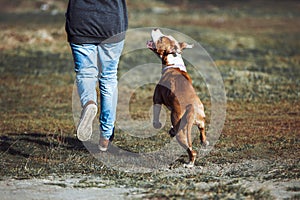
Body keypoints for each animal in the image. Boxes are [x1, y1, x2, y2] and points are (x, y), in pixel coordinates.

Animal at [146, 28, 207, 168]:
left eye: (161, 39)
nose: (156, 28)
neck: (173, 64)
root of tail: (192, 108)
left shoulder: (157, 99)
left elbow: (156, 115)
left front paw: (157, 124)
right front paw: (170, 130)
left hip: (182, 134)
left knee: (191, 151)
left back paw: (189, 164)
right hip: (200, 119)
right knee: (202, 129)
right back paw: (204, 142)